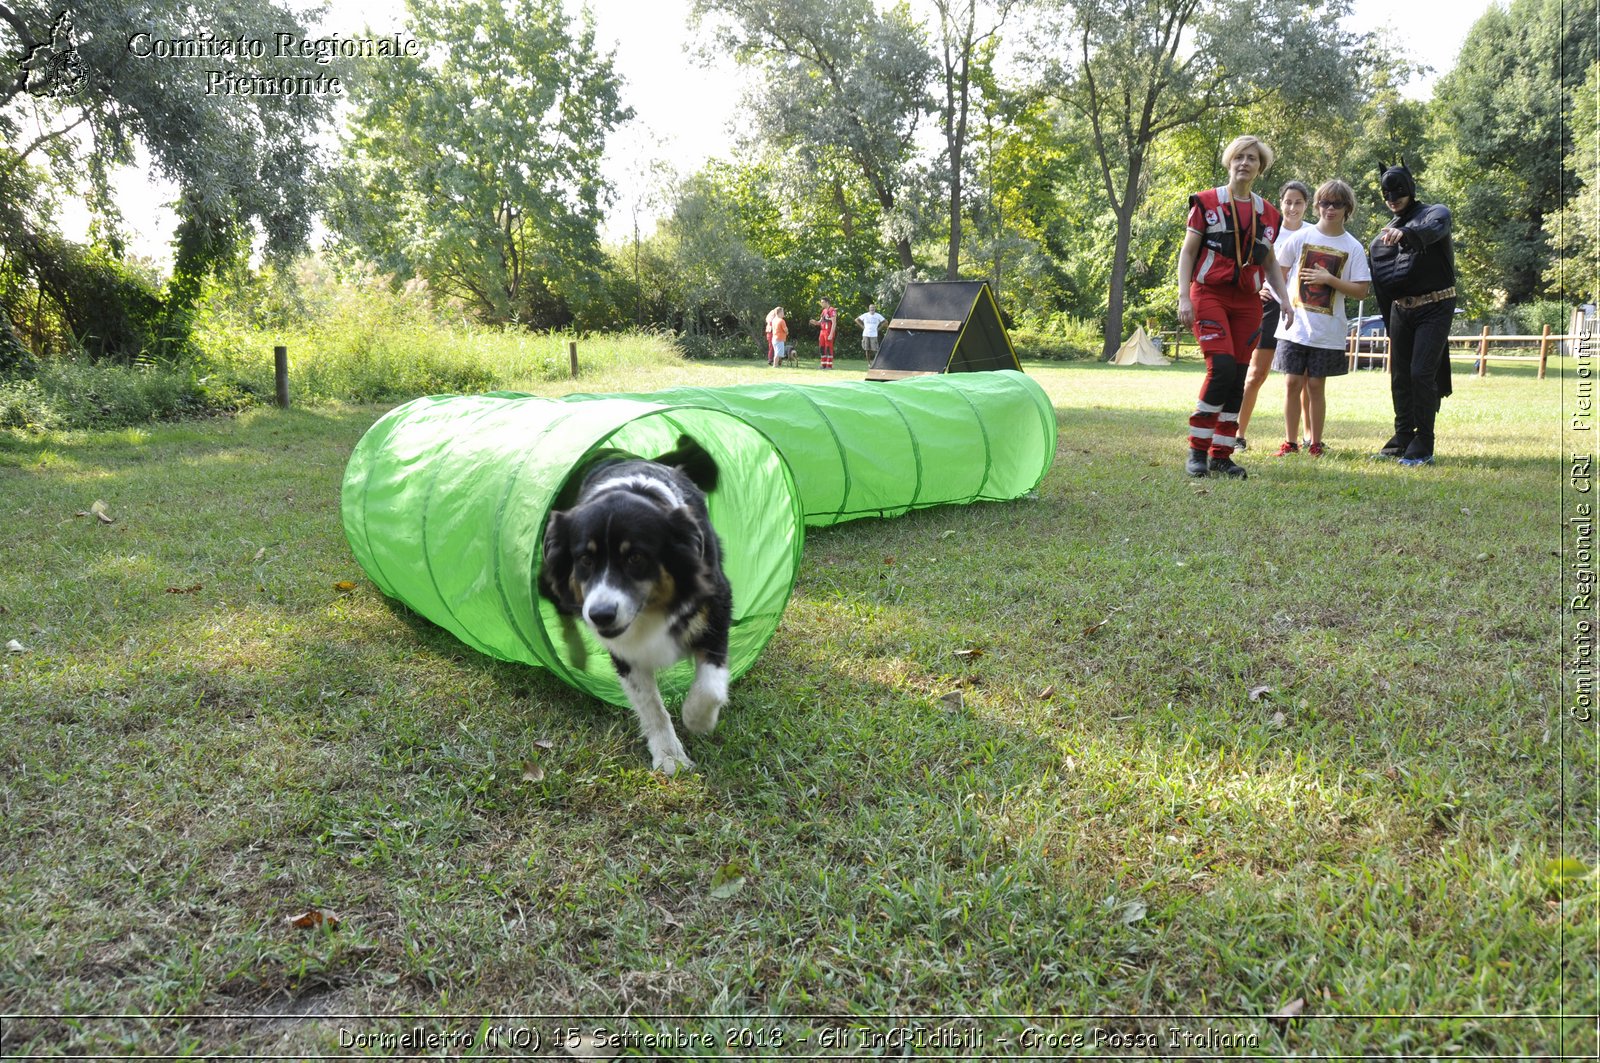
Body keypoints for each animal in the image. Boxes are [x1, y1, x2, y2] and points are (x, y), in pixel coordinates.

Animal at [540, 435, 732, 778]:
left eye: (636, 557)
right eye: (585, 559)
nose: (600, 616)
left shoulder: (717, 601)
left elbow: (710, 684)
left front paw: (697, 719)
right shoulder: (623, 648)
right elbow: (651, 704)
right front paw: (669, 754)